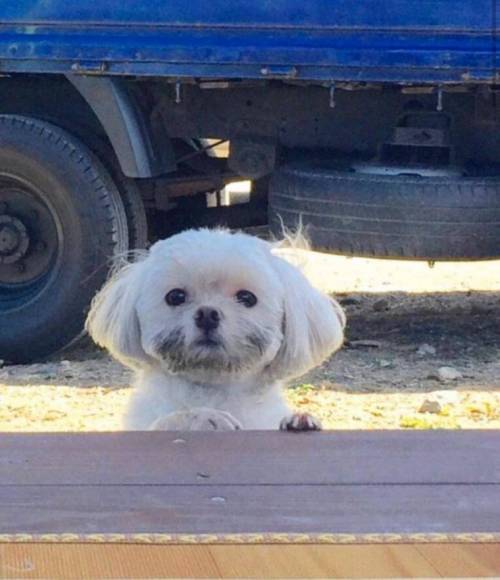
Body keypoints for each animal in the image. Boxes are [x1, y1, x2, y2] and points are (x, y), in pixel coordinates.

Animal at [85, 228, 344, 430]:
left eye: (247, 298)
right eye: (175, 296)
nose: (207, 314)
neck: (213, 390)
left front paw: (299, 419)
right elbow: (172, 419)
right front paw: (203, 417)